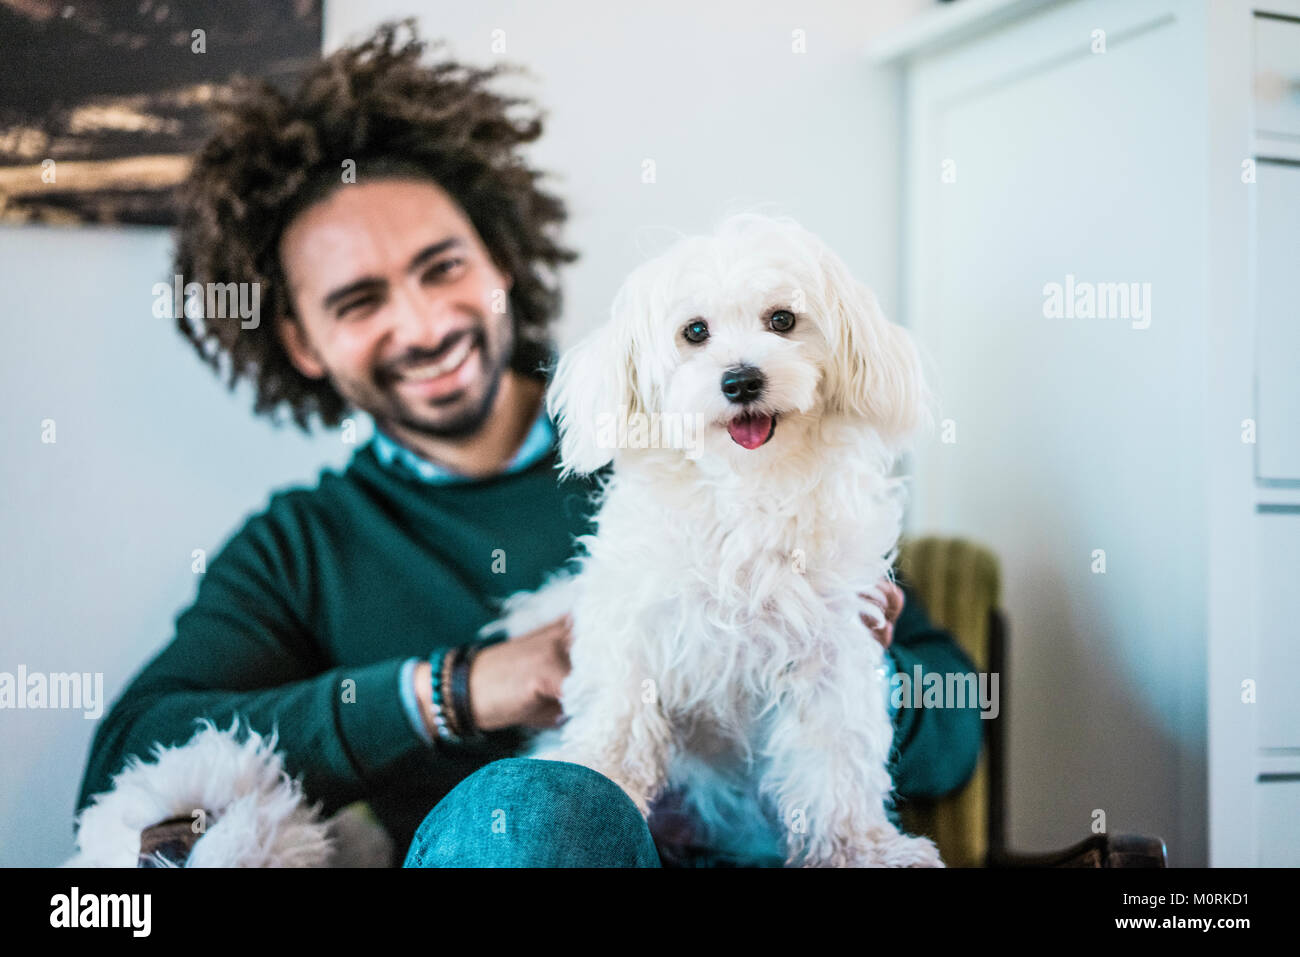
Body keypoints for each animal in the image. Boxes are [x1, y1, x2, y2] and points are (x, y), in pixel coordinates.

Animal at [491, 214, 941, 868]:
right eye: (695, 332)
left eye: (783, 320)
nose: (741, 380)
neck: (747, 486)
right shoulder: (636, 623)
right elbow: (619, 715)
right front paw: (593, 769)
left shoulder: (832, 656)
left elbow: (836, 761)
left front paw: (859, 848)